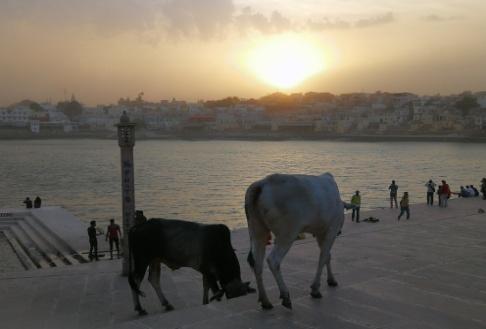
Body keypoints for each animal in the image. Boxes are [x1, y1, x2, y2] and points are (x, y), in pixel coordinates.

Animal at [245, 173, 344, 308]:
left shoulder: (320, 234)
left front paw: (331, 280)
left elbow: (327, 256)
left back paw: (265, 301)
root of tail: (261, 184)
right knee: (273, 260)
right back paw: (285, 296)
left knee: (257, 264)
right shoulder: (331, 230)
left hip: (258, 231)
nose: (340, 232)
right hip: (287, 234)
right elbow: (323, 257)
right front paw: (315, 289)